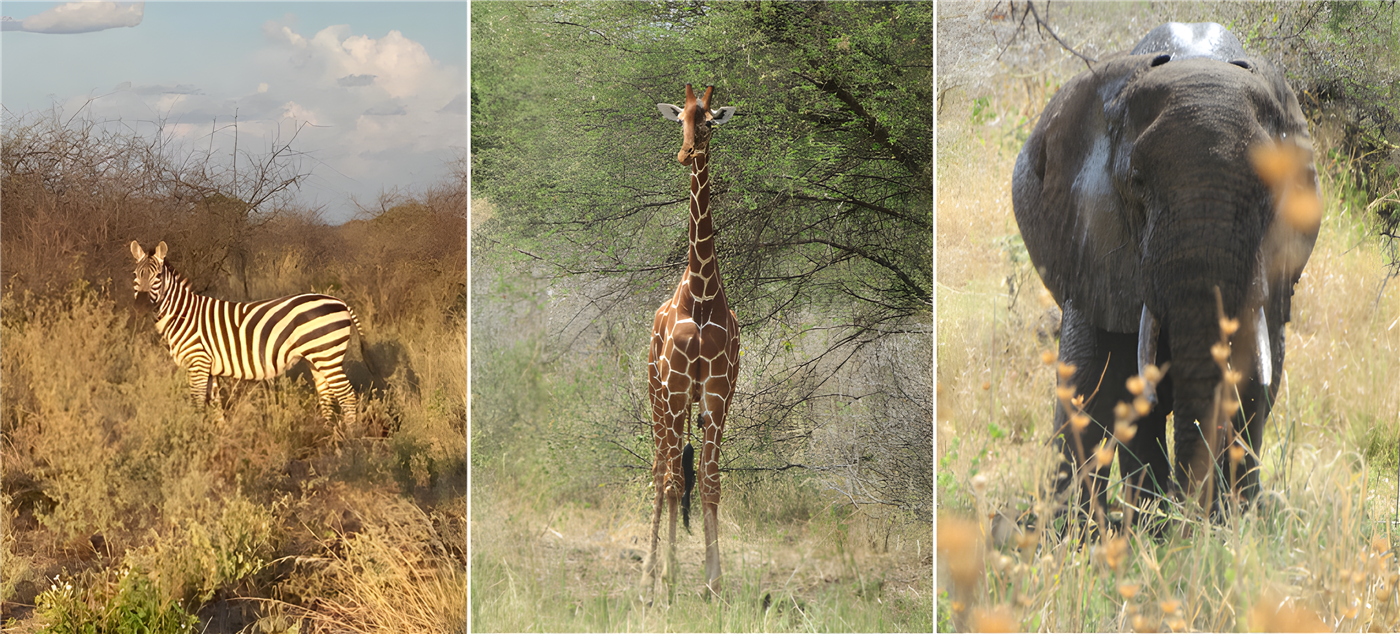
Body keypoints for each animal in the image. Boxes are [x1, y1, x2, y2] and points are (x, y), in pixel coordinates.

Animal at [130, 240, 372, 428]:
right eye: (135, 275)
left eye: (157, 276)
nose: (140, 307)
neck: (183, 315)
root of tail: (340, 301)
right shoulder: (209, 366)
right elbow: (215, 404)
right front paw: (219, 435)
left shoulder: (198, 361)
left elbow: (197, 402)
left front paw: (196, 434)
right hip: (318, 358)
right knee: (326, 394)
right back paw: (327, 433)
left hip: (327, 355)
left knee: (347, 396)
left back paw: (350, 439)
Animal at [1012, 22, 1319, 528]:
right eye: (1137, 184)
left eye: (1266, 192)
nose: (1189, 516)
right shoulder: (1094, 246)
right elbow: (1092, 383)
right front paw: (1077, 535)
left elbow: (1251, 386)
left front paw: (1228, 528)